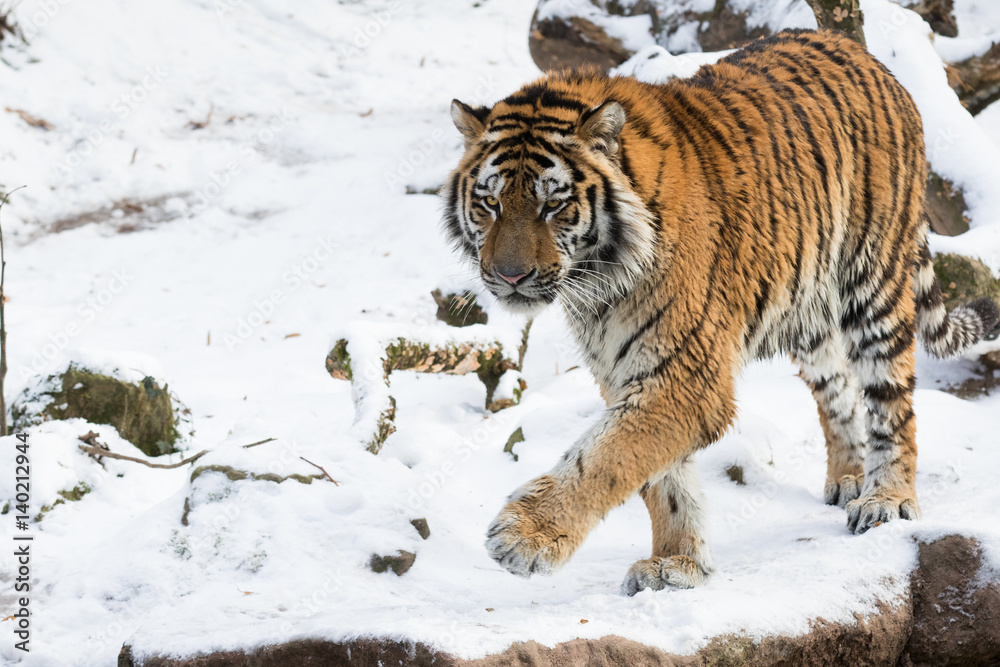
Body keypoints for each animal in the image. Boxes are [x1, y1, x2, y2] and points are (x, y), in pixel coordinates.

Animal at [441, 28, 1000, 594]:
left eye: (552, 205)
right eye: (490, 204)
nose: (510, 276)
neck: (599, 280)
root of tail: (861, 51)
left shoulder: (686, 374)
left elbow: (608, 455)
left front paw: (524, 537)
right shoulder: (625, 368)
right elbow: (657, 476)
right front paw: (676, 562)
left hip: (874, 282)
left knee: (892, 400)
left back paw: (886, 499)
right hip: (809, 308)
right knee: (838, 389)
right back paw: (849, 478)